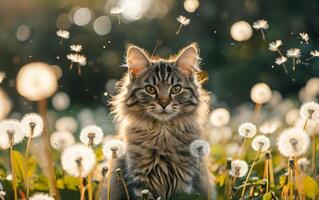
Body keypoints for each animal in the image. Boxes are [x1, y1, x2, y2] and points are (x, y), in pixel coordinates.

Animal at [110, 43, 212, 199]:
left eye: (176, 89)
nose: (164, 104)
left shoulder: (185, 183)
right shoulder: (140, 185)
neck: (162, 134)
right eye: (150, 89)